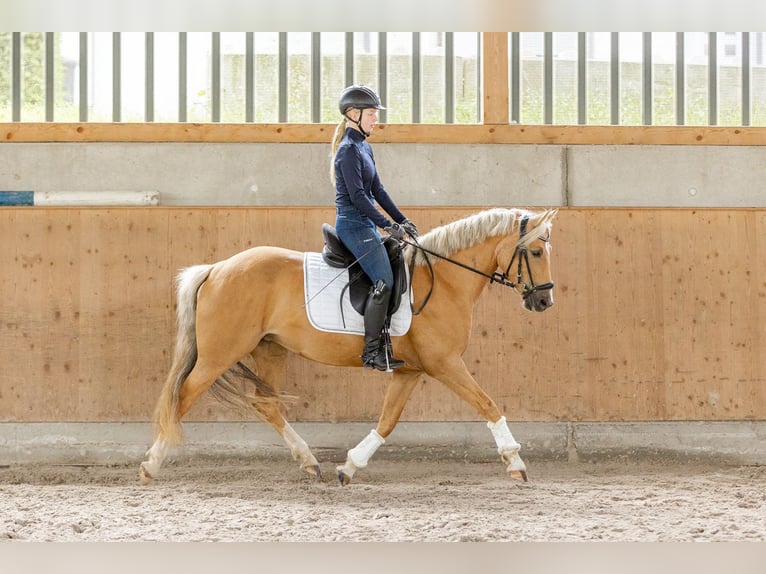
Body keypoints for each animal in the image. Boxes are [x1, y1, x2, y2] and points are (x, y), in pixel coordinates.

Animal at [140, 207, 560, 486]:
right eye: (536, 252)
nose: (543, 302)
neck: (443, 280)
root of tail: (216, 269)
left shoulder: (411, 370)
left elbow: (387, 421)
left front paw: (350, 466)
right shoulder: (445, 363)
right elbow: (488, 404)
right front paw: (515, 462)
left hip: (270, 349)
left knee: (266, 404)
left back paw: (310, 461)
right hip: (219, 354)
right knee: (183, 395)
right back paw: (151, 465)